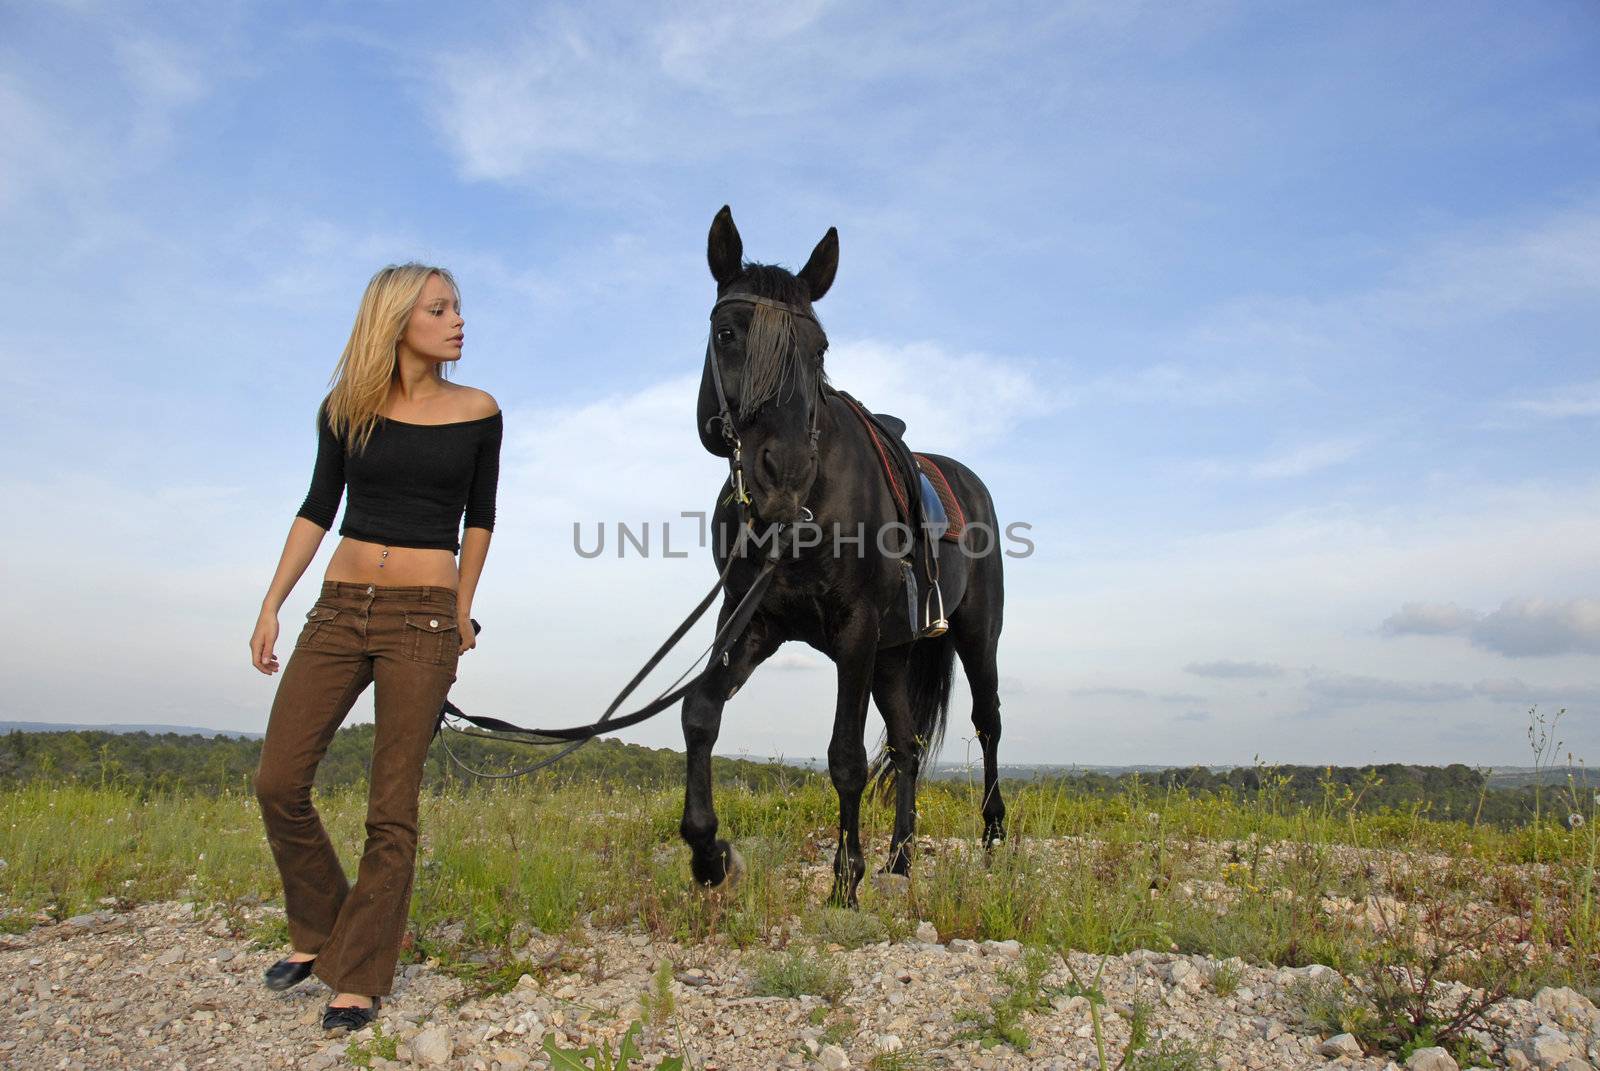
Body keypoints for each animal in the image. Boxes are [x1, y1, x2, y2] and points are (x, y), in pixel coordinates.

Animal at [678, 206, 1004, 902]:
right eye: (726, 332)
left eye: (819, 350)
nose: (784, 472)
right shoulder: (751, 622)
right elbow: (700, 711)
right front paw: (709, 853)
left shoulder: (855, 632)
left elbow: (846, 759)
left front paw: (844, 883)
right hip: (893, 656)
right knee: (908, 746)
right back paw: (900, 859)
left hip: (974, 635)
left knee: (988, 723)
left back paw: (994, 839)